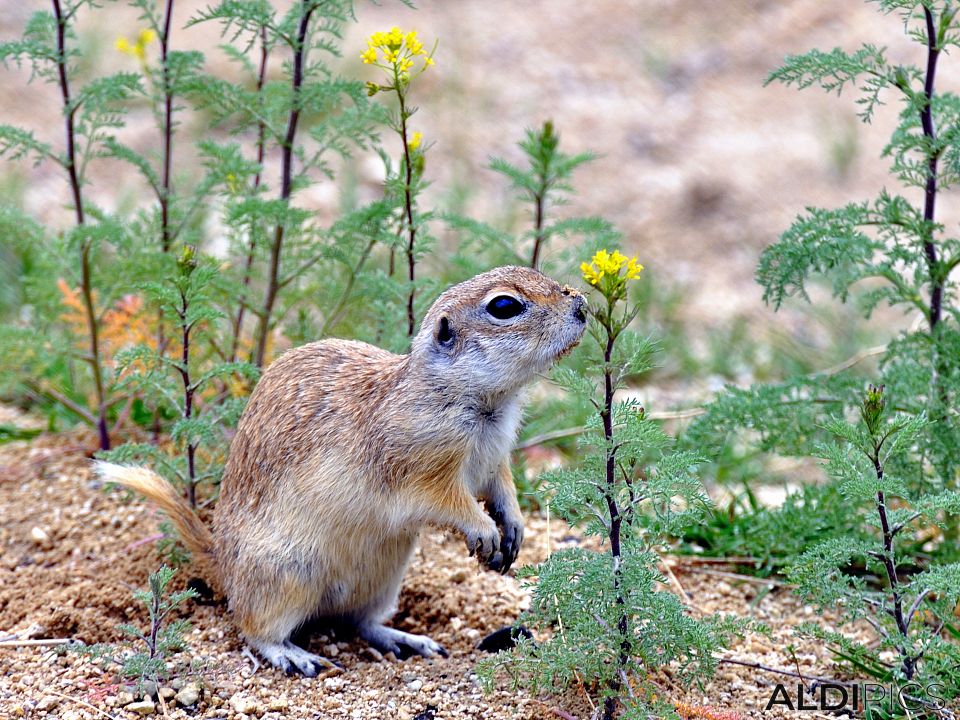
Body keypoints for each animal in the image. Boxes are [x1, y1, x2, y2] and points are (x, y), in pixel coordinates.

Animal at [101, 264, 588, 676]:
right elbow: (451, 501)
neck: (475, 398)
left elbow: (502, 489)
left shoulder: (496, 458)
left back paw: (407, 639)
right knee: (254, 628)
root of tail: (220, 564)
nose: (582, 305)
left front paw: (514, 530)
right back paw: (294, 655)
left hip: (382, 580)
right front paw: (484, 532)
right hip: (287, 576)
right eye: (504, 306)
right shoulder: (423, 467)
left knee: (359, 622)